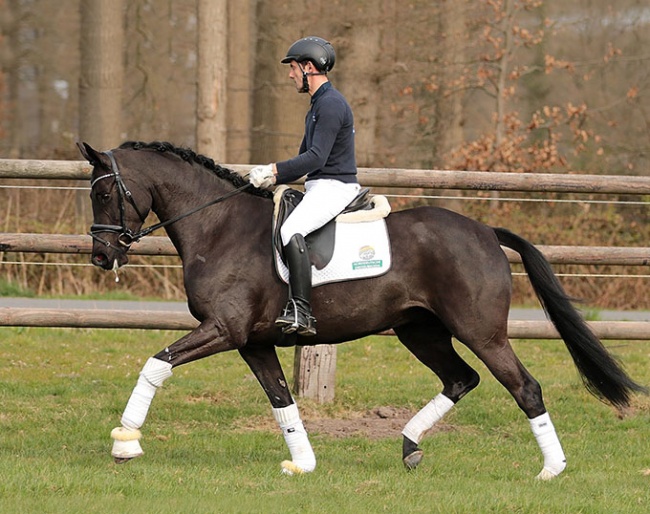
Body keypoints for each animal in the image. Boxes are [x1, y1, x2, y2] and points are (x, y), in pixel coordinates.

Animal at [77, 139, 644, 476]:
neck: (219, 228)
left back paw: (552, 469)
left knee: (524, 387)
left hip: (482, 332)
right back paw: (410, 446)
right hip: (421, 331)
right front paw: (302, 464)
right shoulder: (253, 342)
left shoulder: (225, 330)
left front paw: (125, 443)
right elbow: (282, 400)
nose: (102, 256)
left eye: (104, 194)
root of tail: (484, 231)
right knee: (461, 379)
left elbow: (155, 365)